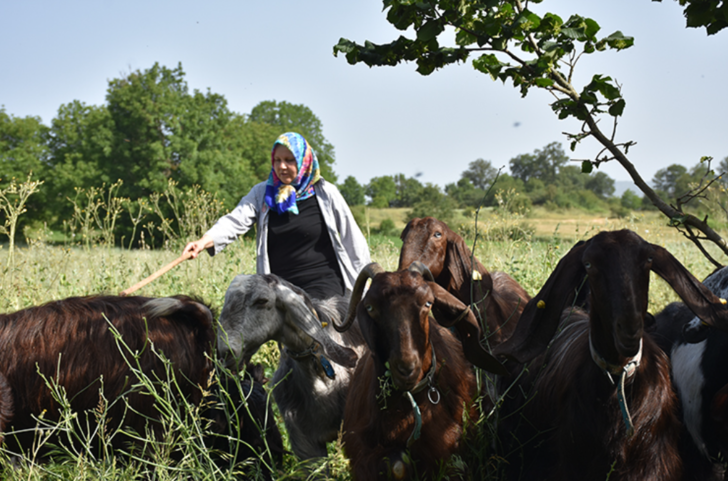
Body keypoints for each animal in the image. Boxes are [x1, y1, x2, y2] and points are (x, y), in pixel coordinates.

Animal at [336, 262, 506, 480]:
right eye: (370, 307)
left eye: (428, 303)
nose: (406, 368)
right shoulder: (359, 448)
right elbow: (397, 465)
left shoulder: (451, 446)